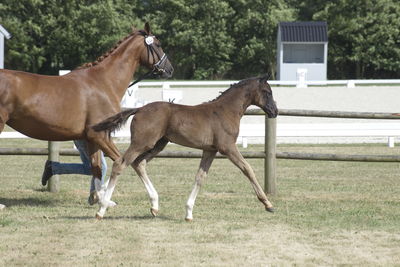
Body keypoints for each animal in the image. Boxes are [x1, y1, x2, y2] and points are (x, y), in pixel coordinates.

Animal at [0, 23, 174, 207]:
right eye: (158, 44)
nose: (170, 69)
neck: (104, 82)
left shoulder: (92, 138)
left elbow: (97, 168)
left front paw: (100, 199)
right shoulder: (99, 135)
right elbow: (127, 162)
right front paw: (153, 202)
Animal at [92, 76, 276, 221]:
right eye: (267, 92)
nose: (274, 111)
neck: (225, 111)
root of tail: (140, 108)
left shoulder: (210, 150)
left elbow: (200, 177)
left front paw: (188, 213)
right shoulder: (228, 147)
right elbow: (248, 169)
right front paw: (268, 204)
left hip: (158, 144)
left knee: (138, 164)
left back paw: (154, 206)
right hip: (142, 142)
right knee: (120, 164)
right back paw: (102, 209)